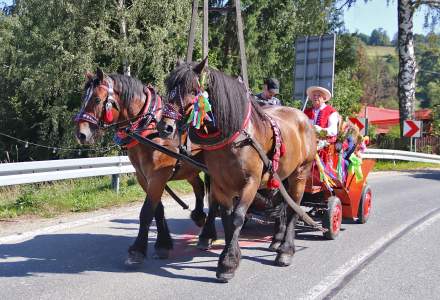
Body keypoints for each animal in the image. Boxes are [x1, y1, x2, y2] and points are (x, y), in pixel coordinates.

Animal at [74, 69, 218, 264]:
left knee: (214, 197)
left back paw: (207, 235)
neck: (148, 128)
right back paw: (198, 216)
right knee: (200, 187)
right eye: (84, 98)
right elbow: (157, 209)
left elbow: (146, 212)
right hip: (189, 169)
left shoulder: (158, 176)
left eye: (96, 99)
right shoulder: (143, 177)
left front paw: (137, 250)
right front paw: (163, 244)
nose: (80, 134)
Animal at [158, 59, 316, 282]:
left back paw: (285, 250)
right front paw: (227, 256)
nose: (165, 127)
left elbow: (238, 217)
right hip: (281, 177)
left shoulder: (250, 183)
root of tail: (303, 117)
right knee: (283, 205)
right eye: (170, 86)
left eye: (192, 90)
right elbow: (226, 218)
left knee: (294, 209)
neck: (236, 136)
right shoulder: (220, 183)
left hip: (300, 174)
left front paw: (228, 261)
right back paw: (277, 240)